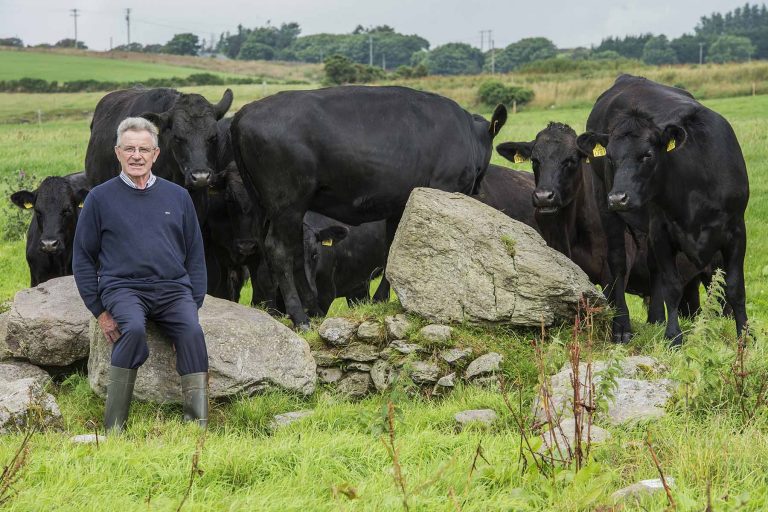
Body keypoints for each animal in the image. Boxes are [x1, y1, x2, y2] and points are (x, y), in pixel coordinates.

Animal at [231, 85, 508, 328]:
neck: (467, 133)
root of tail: (244, 112)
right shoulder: (442, 189)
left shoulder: (399, 205)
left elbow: (392, 249)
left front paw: (381, 299)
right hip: (288, 203)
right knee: (279, 250)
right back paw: (301, 318)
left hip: (267, 207)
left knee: (285, 253)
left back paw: (309, 309)